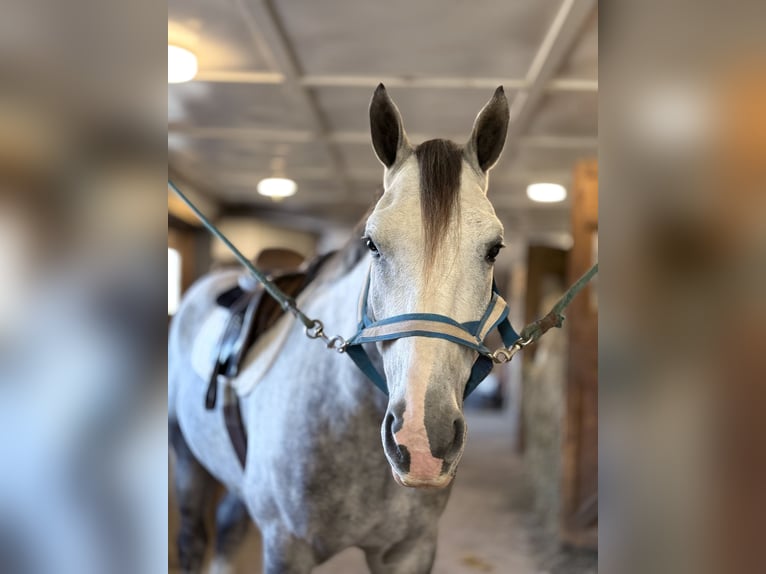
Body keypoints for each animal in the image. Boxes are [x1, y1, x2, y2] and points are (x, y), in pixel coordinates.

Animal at [168, 84, 511, 574]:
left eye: (494, 249)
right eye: (372, 244)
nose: (422, 439)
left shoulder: (410, 550)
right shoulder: (286, 547)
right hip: (188, 463)